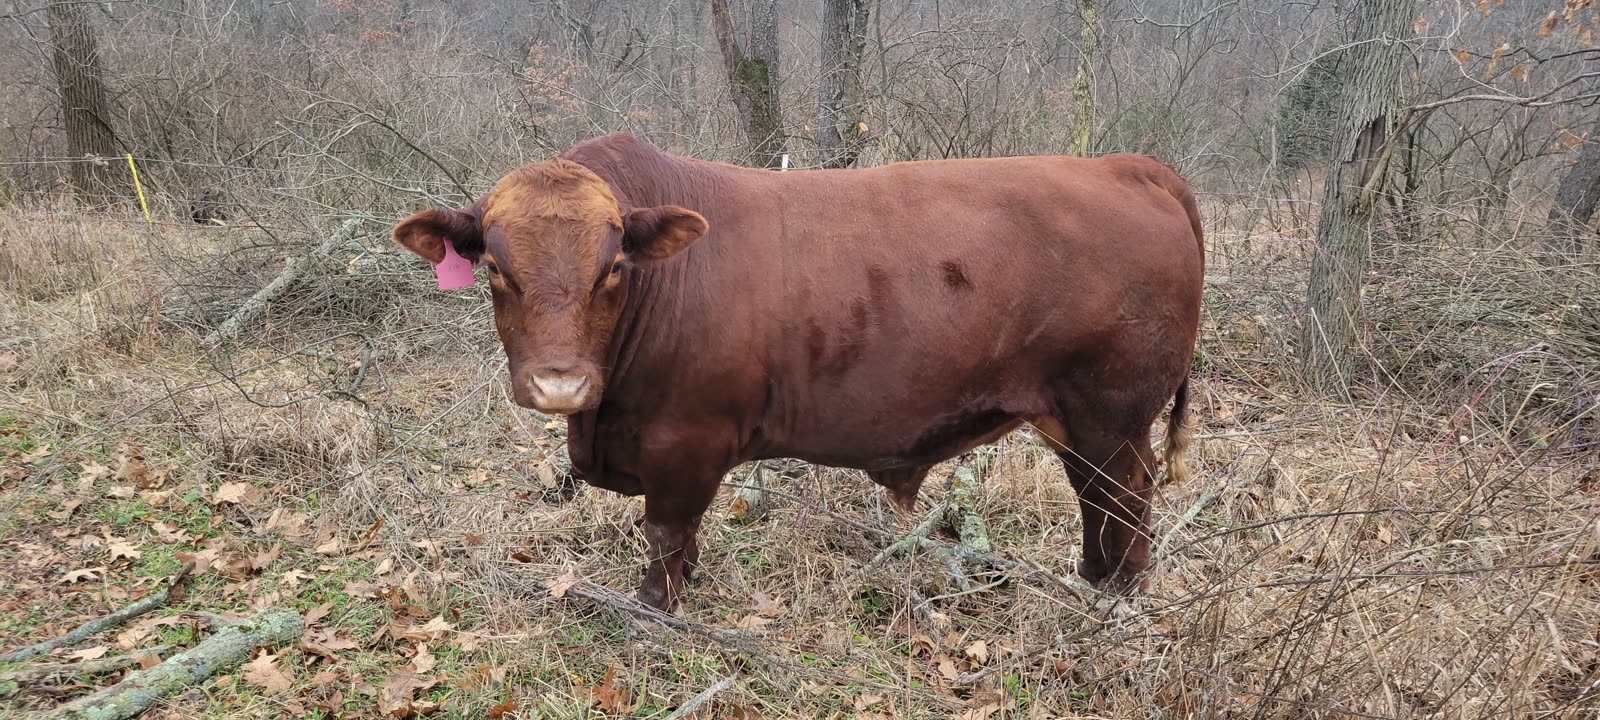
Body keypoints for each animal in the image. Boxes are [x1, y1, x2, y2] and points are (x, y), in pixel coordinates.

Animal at [392, 133, 1204, 611]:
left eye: (613, 266)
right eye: (497, 268)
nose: (560, 383)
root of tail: (1126, 167)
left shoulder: (687, 438)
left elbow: (666, 530)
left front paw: (658, 607)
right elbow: (682, 536)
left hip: (1113, 413)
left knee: (1126, 501)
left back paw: (1116, 599)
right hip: (1076, 417)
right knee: (1095, 498)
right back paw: (1091, 578)